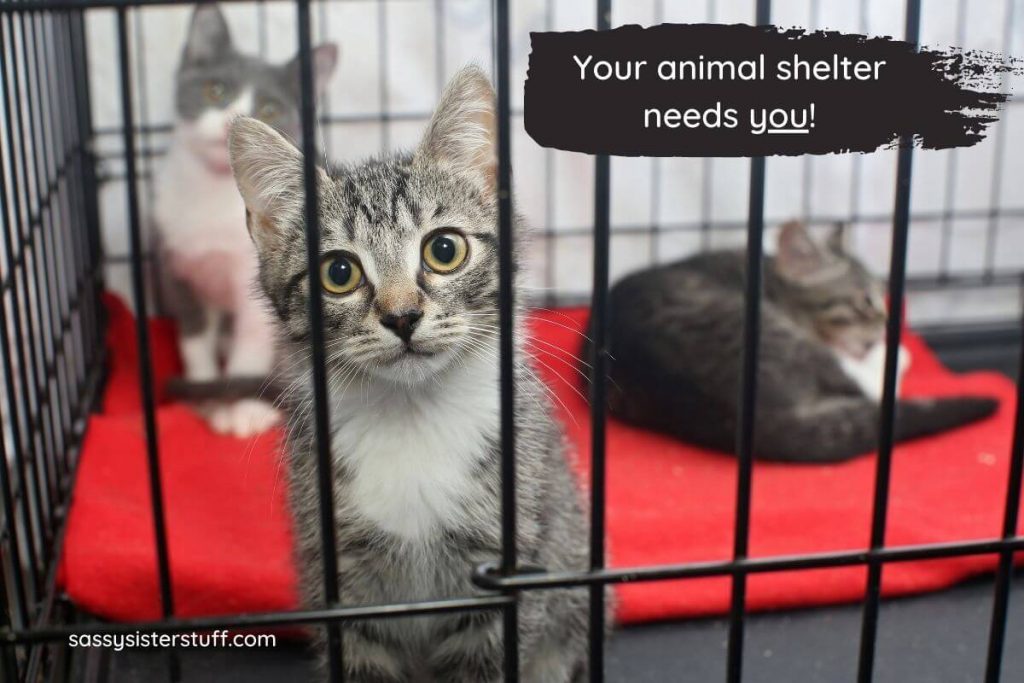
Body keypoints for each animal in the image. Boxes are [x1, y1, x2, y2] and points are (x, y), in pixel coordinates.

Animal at [153, 2, 335, 436]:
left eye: (269, 109)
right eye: (215, 90)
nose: (230, 121)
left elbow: (251, 343)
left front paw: (243, 410)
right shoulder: (176, 265)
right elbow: (194, 339)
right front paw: (205, 395)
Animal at [224, 66, 593, 679]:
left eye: (444, 249)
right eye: (339, 273)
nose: (401, 316)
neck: (413, 416)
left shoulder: (505, 576)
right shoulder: (341, 582)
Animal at [593, 222, 999, 462]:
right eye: (865, 301)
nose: (887, 325)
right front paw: (890, 350)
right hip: (784, 339)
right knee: (870, 387)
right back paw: (893, 357)